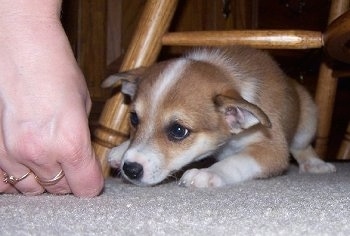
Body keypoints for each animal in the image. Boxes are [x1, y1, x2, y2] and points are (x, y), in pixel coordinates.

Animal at [104, 46, 336, 188]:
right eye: (134, 119)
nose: (130, 169)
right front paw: (121, 148)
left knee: (303, 147)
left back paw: (315, 164)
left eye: (178, 130)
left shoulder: (272, 150)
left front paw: (208, 174)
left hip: (307, 123)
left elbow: (236, 161)